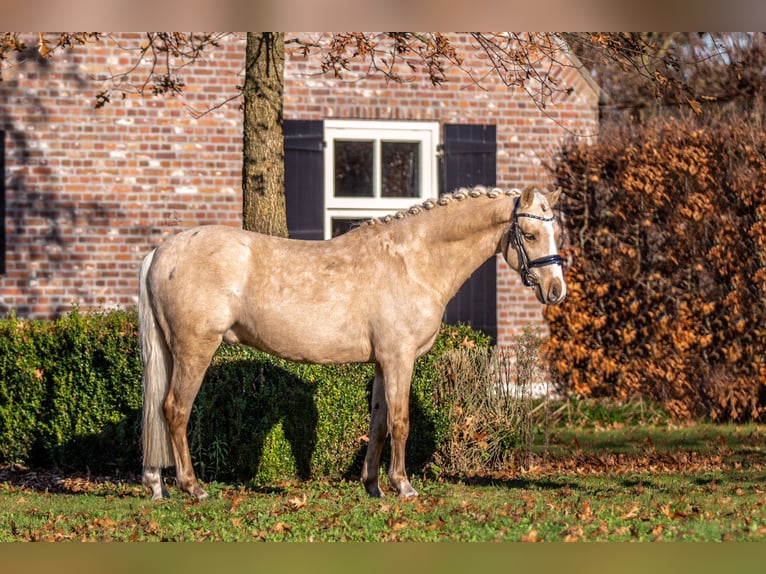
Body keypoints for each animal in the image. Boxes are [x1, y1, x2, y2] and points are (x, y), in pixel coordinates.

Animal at [141, 184, 568, 500]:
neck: (413, 262)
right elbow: (400, 420)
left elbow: (378, 422)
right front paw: (403, 486)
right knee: (175, 410)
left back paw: (156, 484)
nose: (556, 290)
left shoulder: (382, 362)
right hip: (195, 349)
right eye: (530, 234)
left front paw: (373, 485)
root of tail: (160, 252)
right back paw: (193, 488)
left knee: (159, 410)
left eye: (557, 234)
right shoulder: (399, 358)